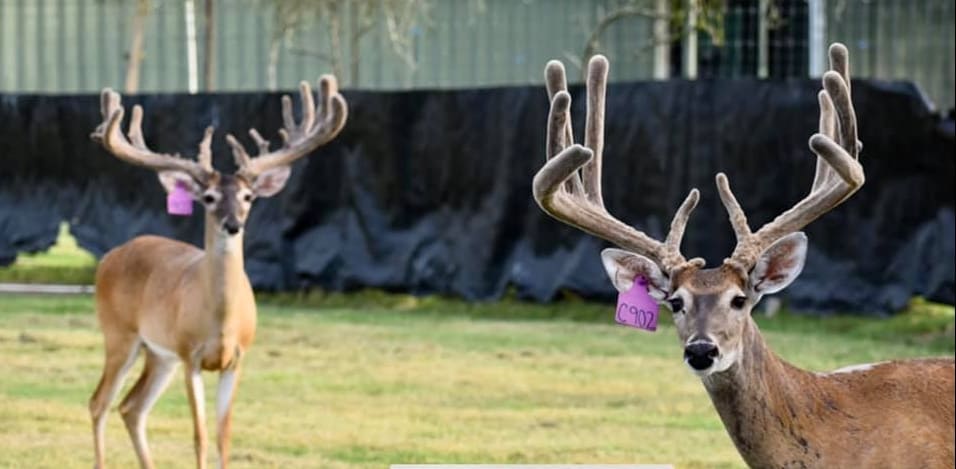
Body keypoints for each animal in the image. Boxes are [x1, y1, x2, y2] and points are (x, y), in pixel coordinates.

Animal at [87, 75, 347, 469]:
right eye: (208, 198)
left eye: (248, 197)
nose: (233, 224)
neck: (221, 322)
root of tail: (110, 256)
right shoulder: (190, 354)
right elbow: (201, 437)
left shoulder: (235, 359)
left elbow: (224, 437)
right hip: (120, 334)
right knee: (99, 403)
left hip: (159, 354)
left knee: (132, 407)